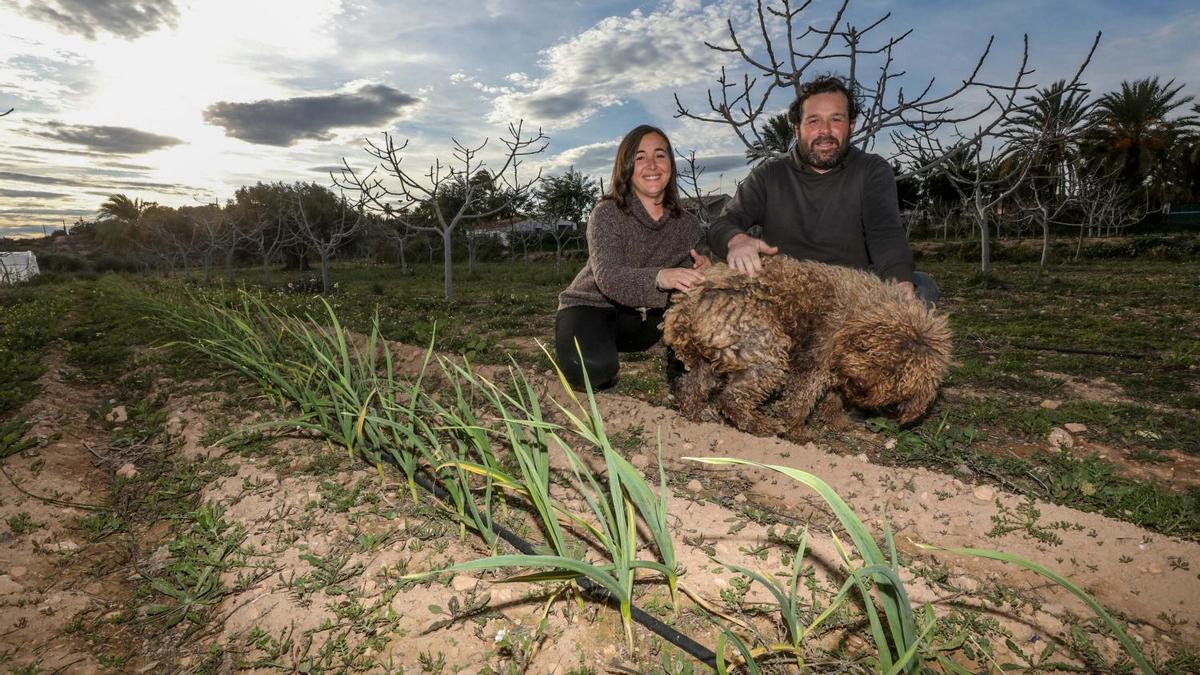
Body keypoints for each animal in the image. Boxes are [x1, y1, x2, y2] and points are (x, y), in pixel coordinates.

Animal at [662, 255, 950, 437]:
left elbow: (833, 400)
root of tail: (692, 297)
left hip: (712, 355)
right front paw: (797, 432)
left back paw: (696, 417)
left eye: (897, 380)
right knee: (732, 397)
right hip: (765, 349)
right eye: (870, 351)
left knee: (690, 386)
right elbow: (800, 400)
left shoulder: (838, 374)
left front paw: (837, 423)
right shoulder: (816, 364)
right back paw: (760, 425)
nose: (861, 385)